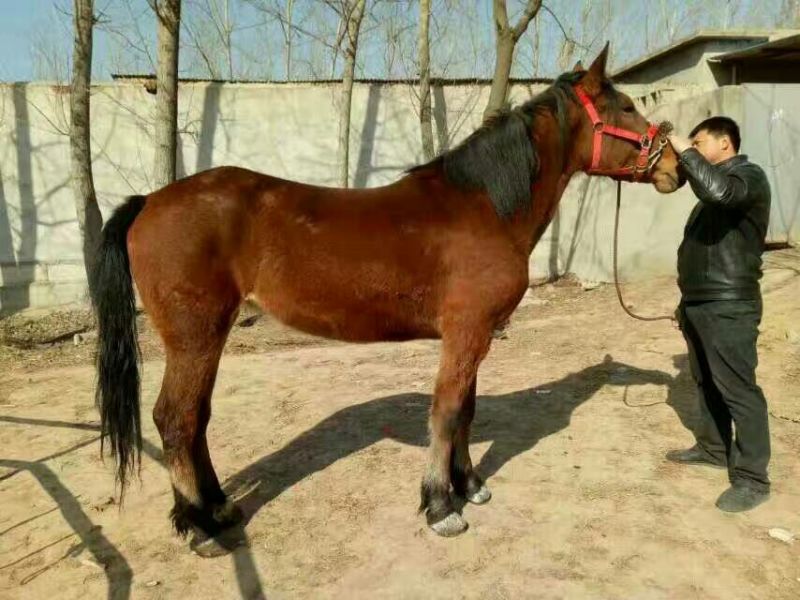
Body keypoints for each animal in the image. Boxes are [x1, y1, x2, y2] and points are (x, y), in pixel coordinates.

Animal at [90, 44, 681, 553]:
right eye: (628, 106)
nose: (675, 167)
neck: (484, 206)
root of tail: (150, 201)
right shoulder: (466, 333)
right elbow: (446, 412)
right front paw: (441, 506)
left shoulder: (475, 335)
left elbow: (466, 411)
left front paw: (469, 484)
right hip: (194, 336)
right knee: (175, 420)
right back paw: (199, 529)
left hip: (208, 337)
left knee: (197, 420)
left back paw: (218, 508)